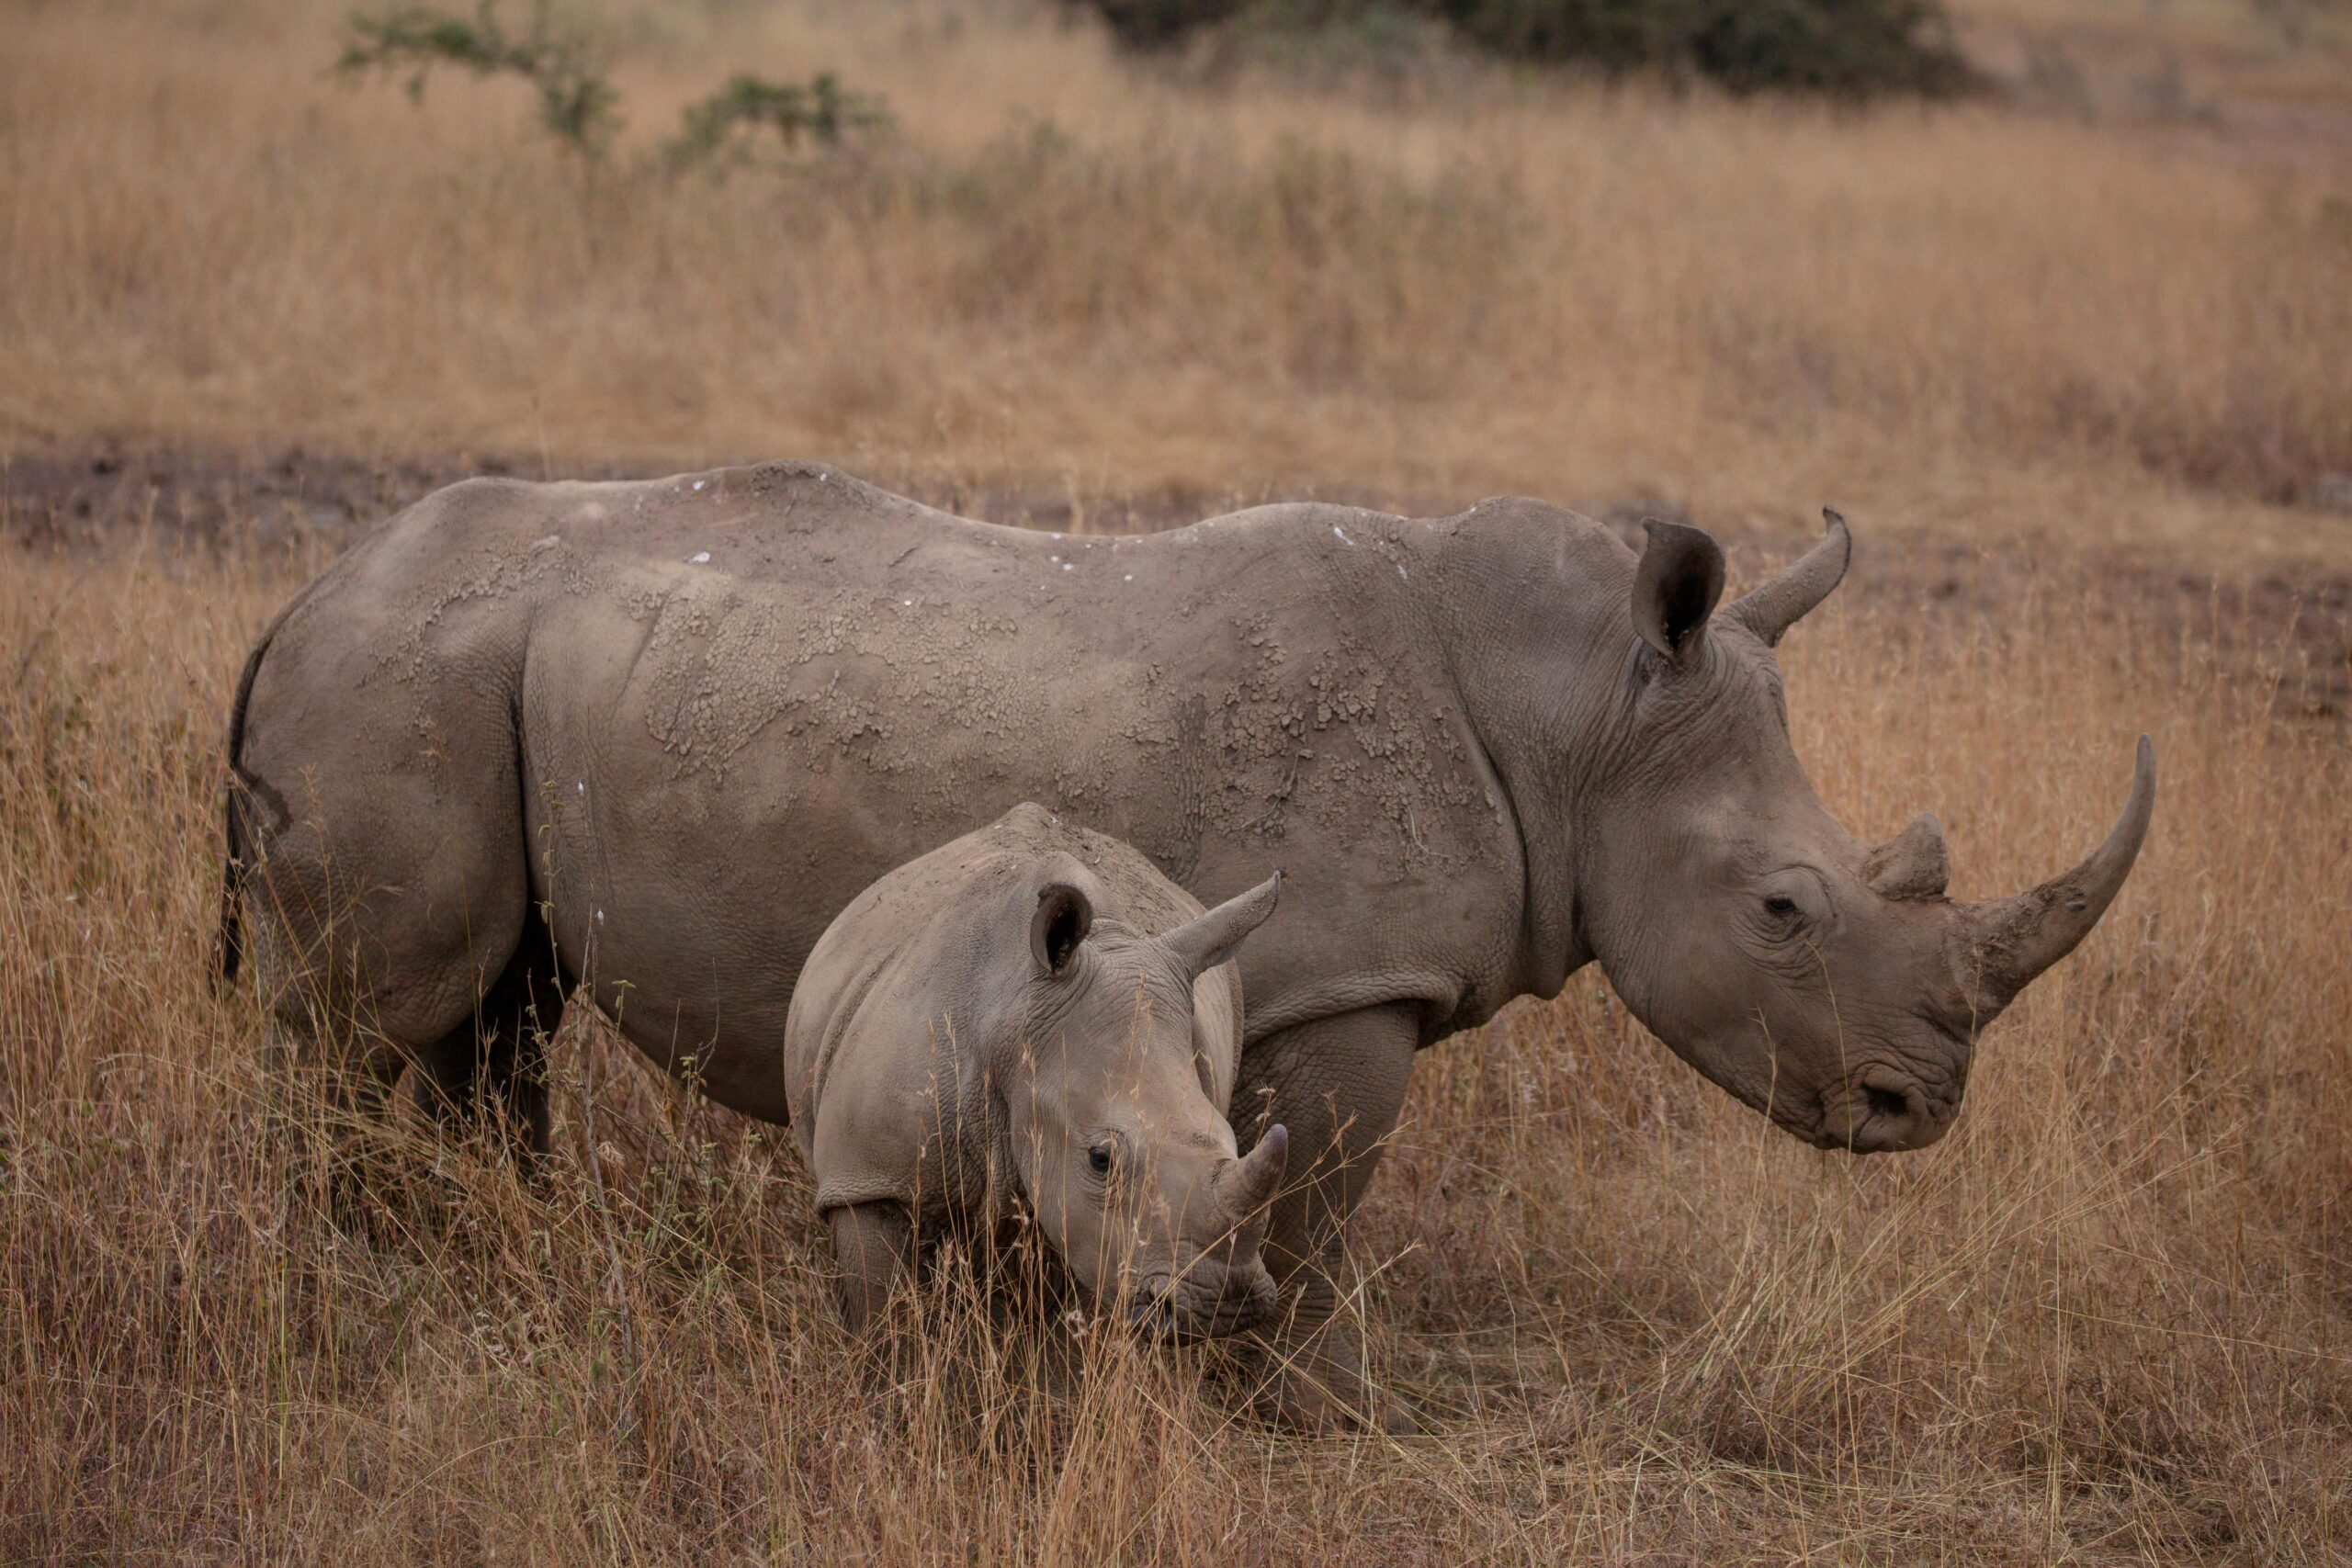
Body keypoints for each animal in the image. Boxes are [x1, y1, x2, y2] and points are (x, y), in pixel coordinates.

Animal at [785, 802, 1288, 1338]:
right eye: (1100, 1159)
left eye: (1232, 1141)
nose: (1227, 1304)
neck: (1013, 1018)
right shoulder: (866, 1178)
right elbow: (883, 1317)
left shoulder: (1091, 1228)